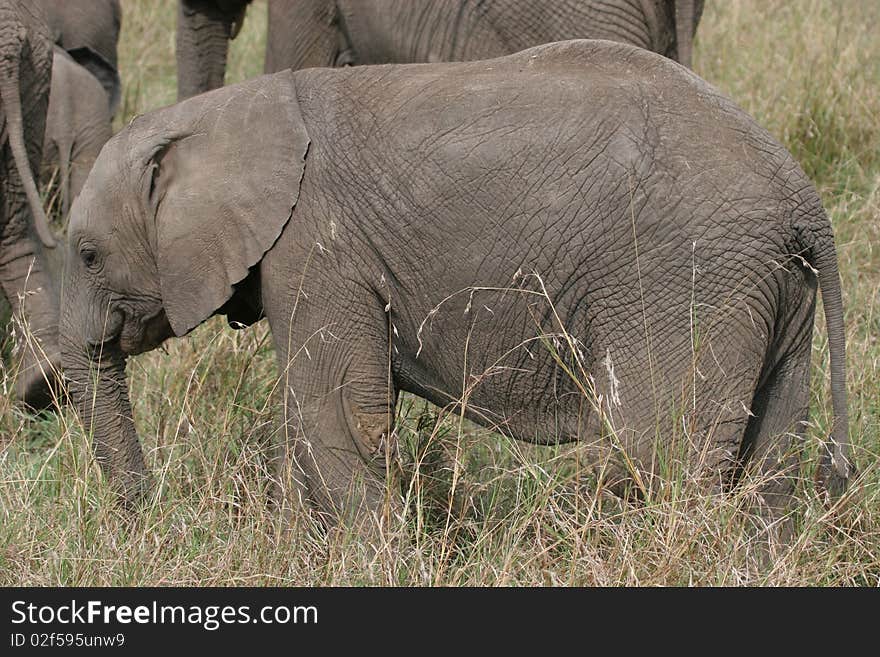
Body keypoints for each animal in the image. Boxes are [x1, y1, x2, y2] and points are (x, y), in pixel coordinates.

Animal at [60, 42, 844, 528]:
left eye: (89, 256)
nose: (155, 516)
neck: (224, 114)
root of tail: (801, 196)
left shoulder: (314, 244)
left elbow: (336, 409)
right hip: (770, 288)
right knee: (770, 456)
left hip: (687, 276)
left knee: (659, 451)